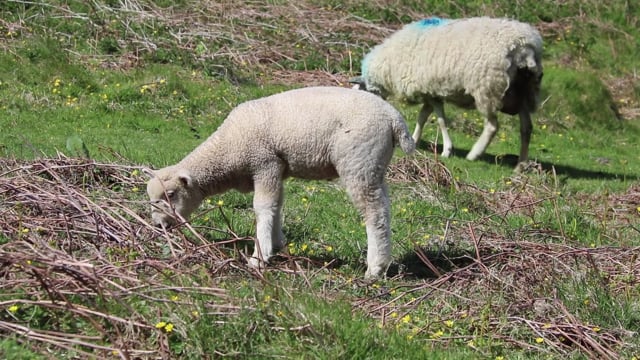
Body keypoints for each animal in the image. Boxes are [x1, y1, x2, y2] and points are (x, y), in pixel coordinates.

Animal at [144, 86, 416, 278]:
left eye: (170, 194)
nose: (158, 225)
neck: (227, 151)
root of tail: (395, 119)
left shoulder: (265, 163)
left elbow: (263, 208)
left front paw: (259, 257)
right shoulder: (277, 169)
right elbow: (276, 206)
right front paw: (276, 244)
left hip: (359, 161)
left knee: (374, 214)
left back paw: (375, 268)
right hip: (374, 167)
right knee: (384, 208)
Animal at [350, 17, 544, 172]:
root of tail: (524, 45)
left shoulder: (433, 92)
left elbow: (441, 120)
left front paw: (447, 150)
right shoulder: (429, 91)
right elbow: (422, 117)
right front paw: (414, 140)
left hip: (487, 88)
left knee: (493, 125)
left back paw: (474, 154)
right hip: (524, 90)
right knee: (526, 128)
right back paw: (521, 165)